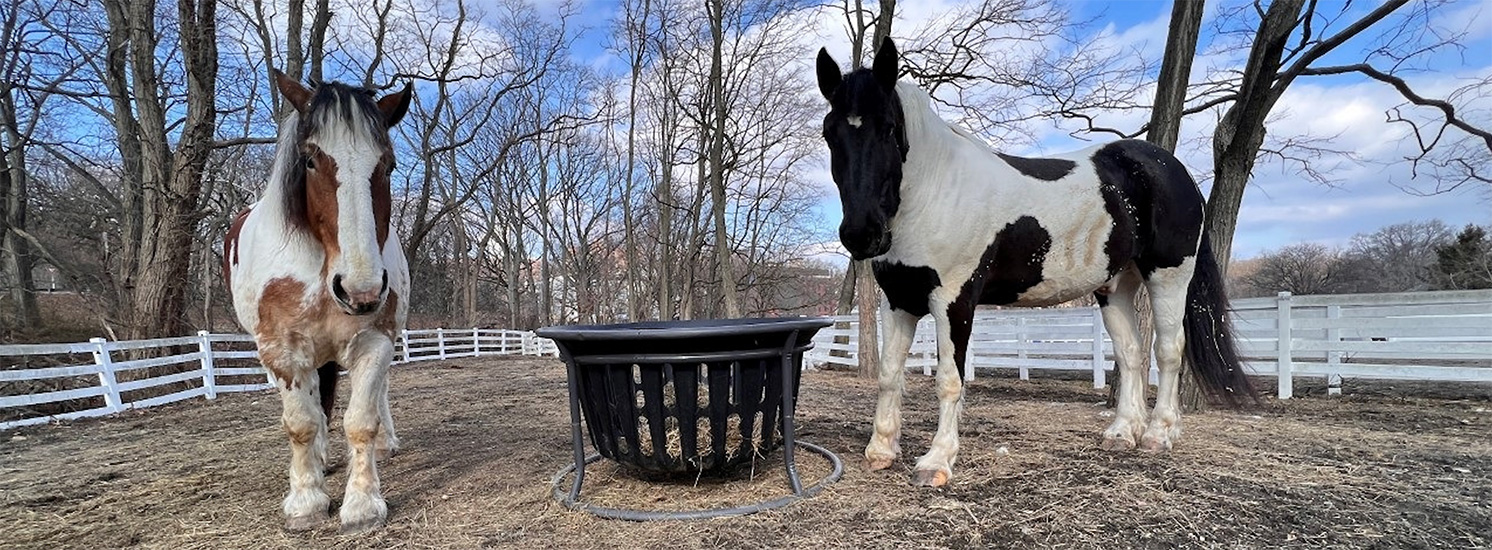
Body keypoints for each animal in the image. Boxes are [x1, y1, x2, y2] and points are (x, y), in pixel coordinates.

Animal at [222, 71, 408, 530]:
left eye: (388, 165)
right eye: (309, 160)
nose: (361, 290)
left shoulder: (375, 340)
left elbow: (361, 421)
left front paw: (362, 504)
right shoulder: (283, 350)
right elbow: (302, 423)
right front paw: (306, 499)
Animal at [823, 41, 1253, 482]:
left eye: (888, 127)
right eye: (830, 133)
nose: (862, 234)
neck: (936, 190)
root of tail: (1175, 171)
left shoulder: (952, 302)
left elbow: (948, 380)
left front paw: (937, 461)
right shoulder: (899, 301)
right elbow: (889, 374)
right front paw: (881, 449)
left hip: (1169, 277)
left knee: (1168, 350)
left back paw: (1158, 434)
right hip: (1116, 286)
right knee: (1130, 352)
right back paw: (1121, 434)